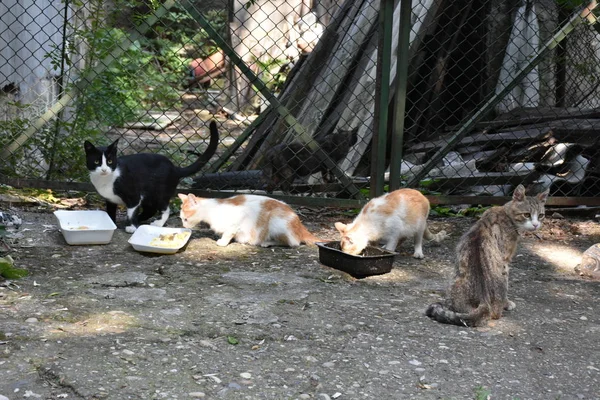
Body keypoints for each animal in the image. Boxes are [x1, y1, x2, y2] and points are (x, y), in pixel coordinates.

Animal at [83, 120, 217, 233]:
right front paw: (112, 223)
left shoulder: (134, 196)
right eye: (96, 162)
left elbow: (131, 212)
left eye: (110, 161)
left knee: (165, 208)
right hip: (149, 195)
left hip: (160, 192)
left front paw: (132, 226)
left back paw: (157, 223)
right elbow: (110, 212)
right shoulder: (110, 199)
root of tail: (175, 168)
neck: (106, 179)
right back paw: (141, 219)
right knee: (150, 209)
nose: (104, 169)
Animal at [177, 194, 322, 247]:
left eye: (185, 219)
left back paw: (266, 242)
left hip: (276, 220)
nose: (183, 225)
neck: (211, 210)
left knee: (292, 242)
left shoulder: (239, 217)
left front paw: (223, 242)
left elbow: (229, 232)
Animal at [426, 186, 548, 326]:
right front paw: (508, 303)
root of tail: (484, 302)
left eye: (541, 215)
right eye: (527, 214)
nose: (535, 225)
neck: (506, 213)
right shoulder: (505, 259)